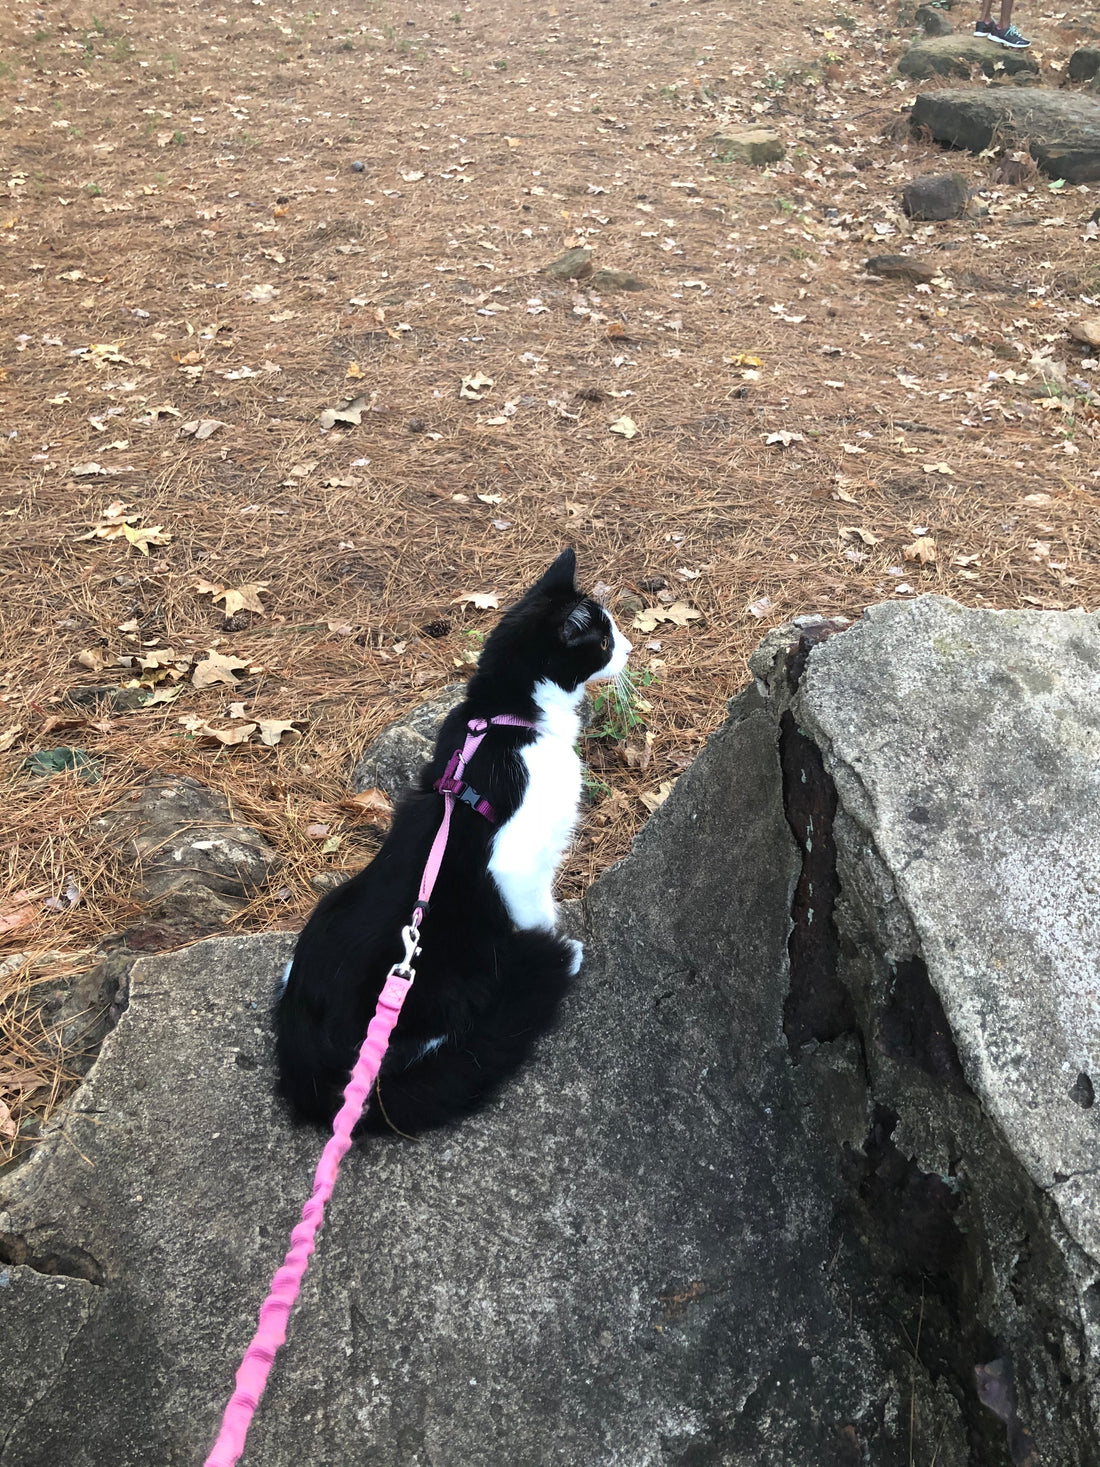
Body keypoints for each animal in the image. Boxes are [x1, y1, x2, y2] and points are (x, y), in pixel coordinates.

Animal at [277, 551, 627, 1132]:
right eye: (602, 640)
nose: (630, 648)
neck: (509, 717)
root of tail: (319, 1082)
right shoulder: (515, 863)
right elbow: (537, 909)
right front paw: (546, 944)